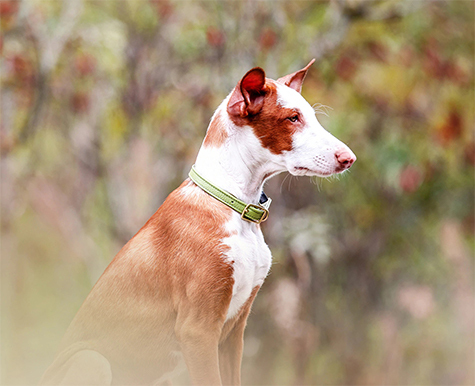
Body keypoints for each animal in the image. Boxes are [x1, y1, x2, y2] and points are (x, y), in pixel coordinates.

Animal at [41, 60, 356, 386]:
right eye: (293, 118)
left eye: (311, 117)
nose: (349, 159)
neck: (234, 206)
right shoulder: (198, 330)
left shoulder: (233, 333)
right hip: (92, 359)